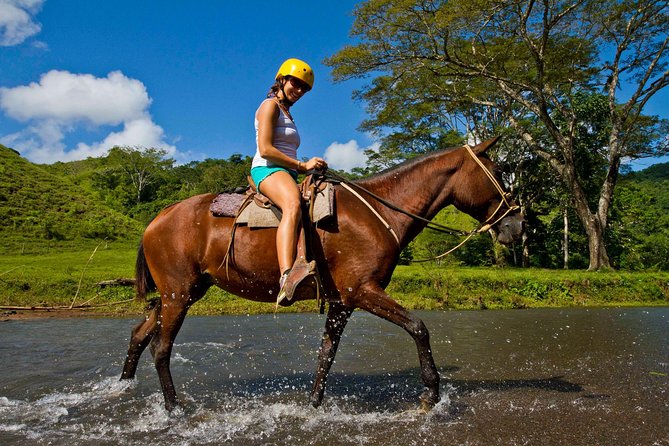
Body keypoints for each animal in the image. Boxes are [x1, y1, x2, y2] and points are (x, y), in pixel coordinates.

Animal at [120, 137, 524, 412]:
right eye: (498, 173)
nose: (519, 225)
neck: (380, 212)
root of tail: (156, 220)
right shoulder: (363, 291)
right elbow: (418, 327)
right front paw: (431, 392)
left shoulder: (342, 301)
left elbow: (326, 354)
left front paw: (314, 403)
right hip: (178, 294)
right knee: (161, 348)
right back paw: (174, 407)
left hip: (185, 291)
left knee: (140, 334)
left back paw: (123, 388)